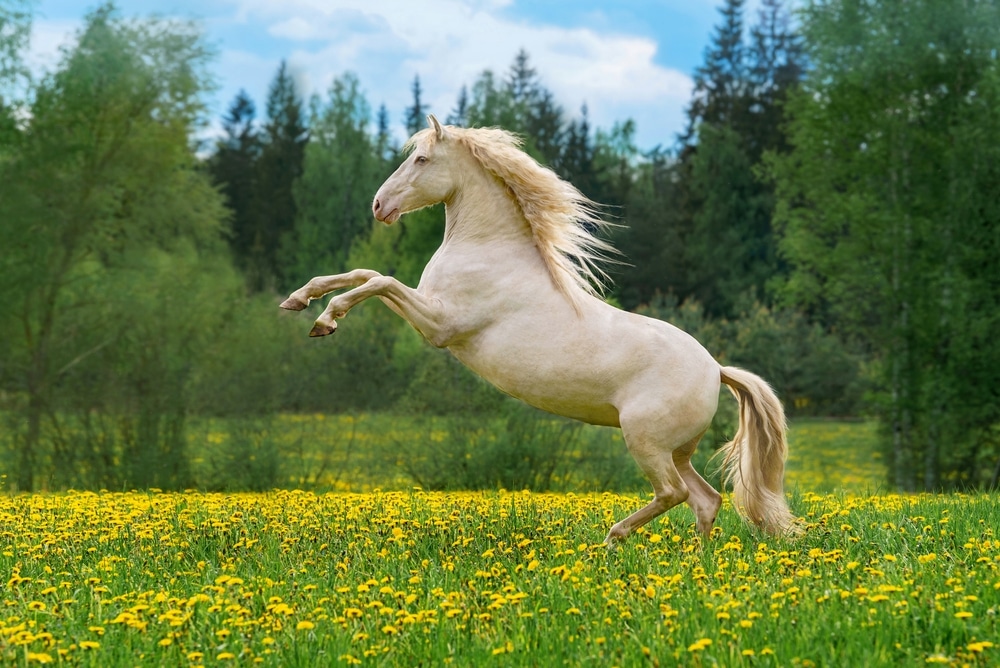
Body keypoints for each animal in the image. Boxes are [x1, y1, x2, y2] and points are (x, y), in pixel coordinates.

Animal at [282, 116, 796, 544]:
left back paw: (613, 538)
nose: (379, 205)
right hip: (677, 450)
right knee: (706, 500)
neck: (489, 250)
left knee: (675, 494)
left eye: (421, 159)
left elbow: (379, 281)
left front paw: (325, 320)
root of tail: (716, 369)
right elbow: (365, 272)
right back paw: (697, 563)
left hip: (646, 442)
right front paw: (300, 299)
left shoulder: (440, 325)